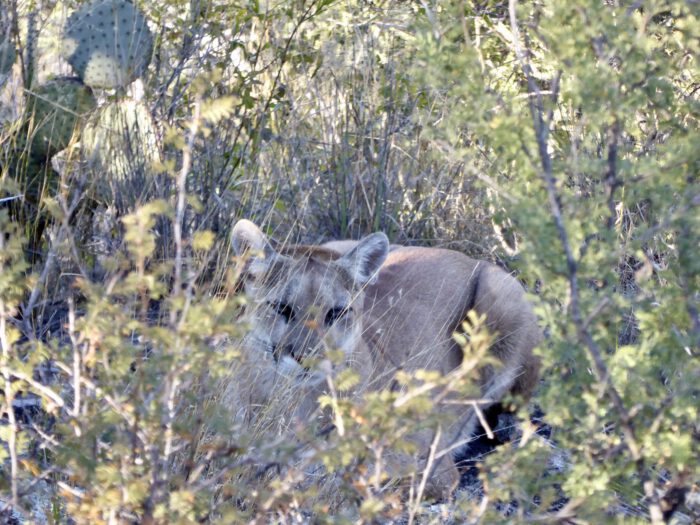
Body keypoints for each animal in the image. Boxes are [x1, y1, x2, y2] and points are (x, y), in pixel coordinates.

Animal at [229, 219, 541, 499]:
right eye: (281, 307)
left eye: (336, 312)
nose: (306, 359)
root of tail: (464, 256)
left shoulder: (432, 468)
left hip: (503, 301)